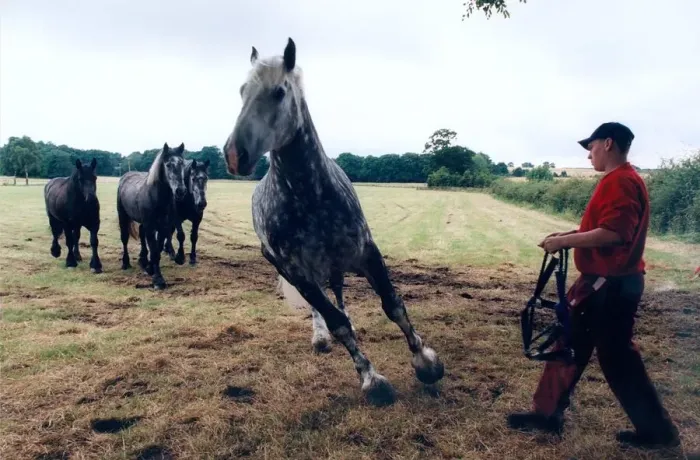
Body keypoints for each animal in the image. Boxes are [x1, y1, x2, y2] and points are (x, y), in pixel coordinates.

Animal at [117, 142, 187, 289]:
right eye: (168, 165)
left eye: (182, 163)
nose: (181, 191)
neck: (156, 196)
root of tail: (126, 176)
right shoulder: (150, 226)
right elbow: (154, 251)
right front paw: (158, 280)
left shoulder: (163, 226)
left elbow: (158, 249)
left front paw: (150, 269)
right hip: (123, 216)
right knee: (124, 238)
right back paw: (126, 263)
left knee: (141, 235)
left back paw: (143, 261)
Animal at [222, 38, 444, 406]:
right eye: (241, 91)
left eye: (279, 92)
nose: (233, 155)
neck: (309, 196)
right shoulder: (298, 273)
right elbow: (336, 323)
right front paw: (372, 380)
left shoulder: (367, 252)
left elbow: (392, 305)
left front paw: (426, 362)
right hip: (300, 274)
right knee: (324, 309)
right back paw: (320, 337)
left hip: (336, 265)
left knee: (339, 292)